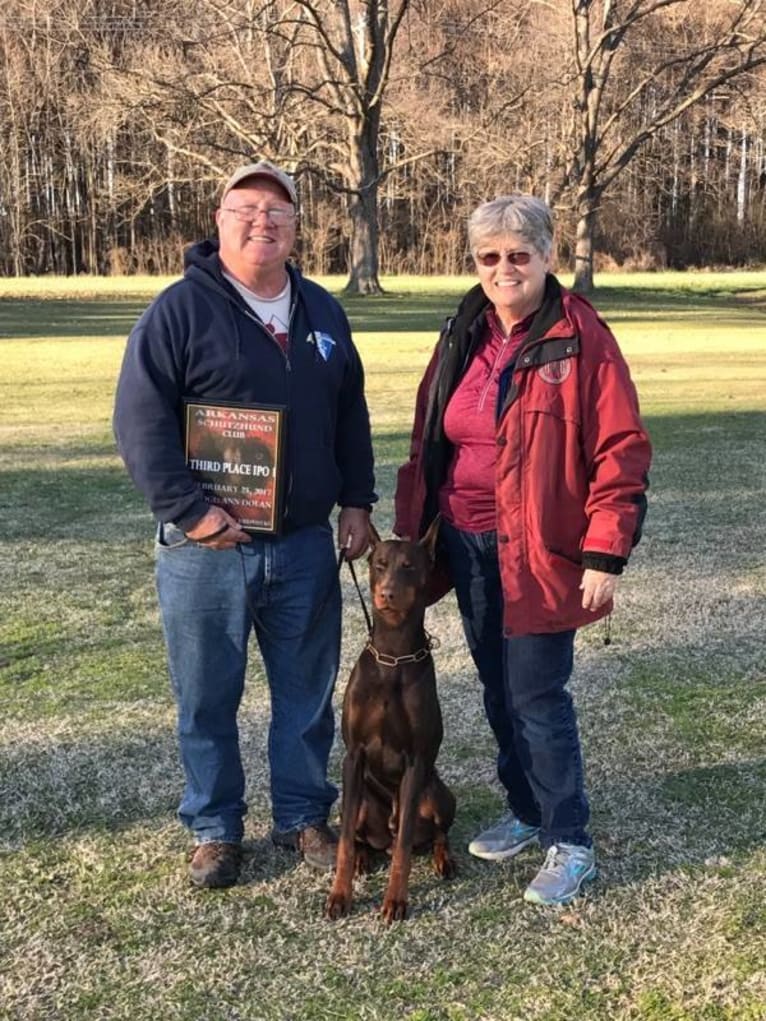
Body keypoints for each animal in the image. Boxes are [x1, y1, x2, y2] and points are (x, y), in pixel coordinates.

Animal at [324, 522, 455, 922]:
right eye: (380, 563)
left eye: (409, 566)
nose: (387, 594)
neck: (393, 656)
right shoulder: (353, 755)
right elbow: (345, 843)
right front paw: (339, 895)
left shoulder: (415, 762)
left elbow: (403, 848)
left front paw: (395, 900)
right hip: (359, 803)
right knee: (362, 836)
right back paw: (365, 858)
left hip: (438, 794)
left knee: (431, 834)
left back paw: (445, 859)